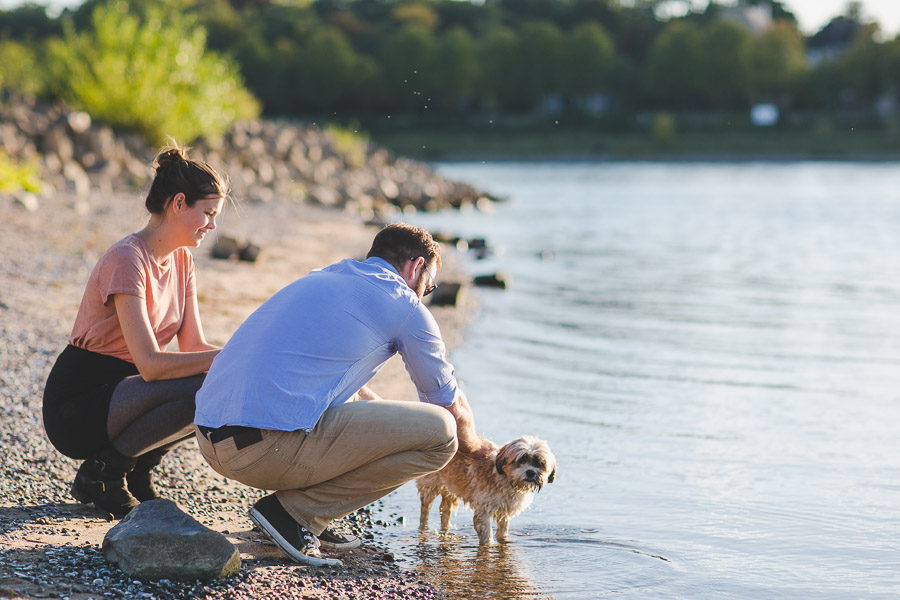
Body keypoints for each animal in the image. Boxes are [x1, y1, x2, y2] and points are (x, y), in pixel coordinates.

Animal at [416, 434, 556, 548]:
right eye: (521, 460)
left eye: (540, 463)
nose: (530, 472)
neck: (505, 479)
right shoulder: (484, 510)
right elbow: (486, 533)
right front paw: (489, 545)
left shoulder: (505, 510)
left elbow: (502, 530)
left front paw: (503, 540)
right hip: (430, 484)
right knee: (425, 508)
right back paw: (423, 528)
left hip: (450, 487)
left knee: (445, 509)